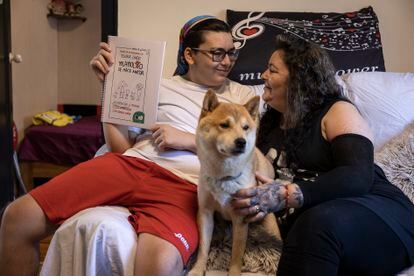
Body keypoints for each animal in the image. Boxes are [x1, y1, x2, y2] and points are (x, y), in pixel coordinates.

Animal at [188, 91, 280, 276]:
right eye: (224, 125)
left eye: (245, 127)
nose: (241, 142)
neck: (224, 176)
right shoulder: (206, 212)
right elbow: (203, 248)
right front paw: (198, 269)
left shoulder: (241, 218)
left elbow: (236, 254)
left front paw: (234, 272)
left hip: (269, 223)